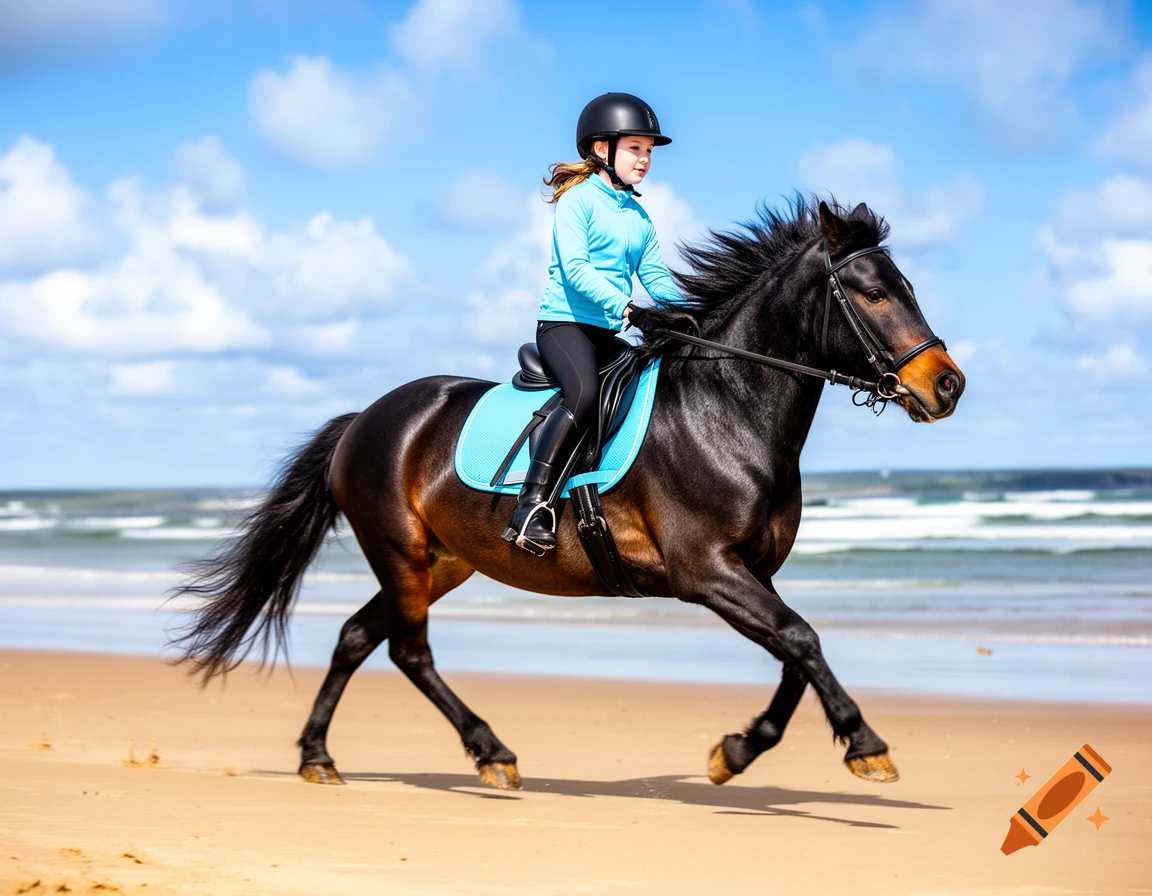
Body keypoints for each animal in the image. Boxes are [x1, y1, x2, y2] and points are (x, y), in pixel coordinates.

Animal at [171, 198, 965, 792]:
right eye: (873, 292)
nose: (947, 386)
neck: (728, 412)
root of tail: (363, 419)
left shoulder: (754, 574)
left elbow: (795, 658)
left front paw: (734, 752)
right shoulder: (706, 571)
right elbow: (801, 639)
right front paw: (866, 744)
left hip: (442, 560)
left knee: (358, 638)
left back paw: (322, 757)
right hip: (399, 550)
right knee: (408, 650)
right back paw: (490, 753)